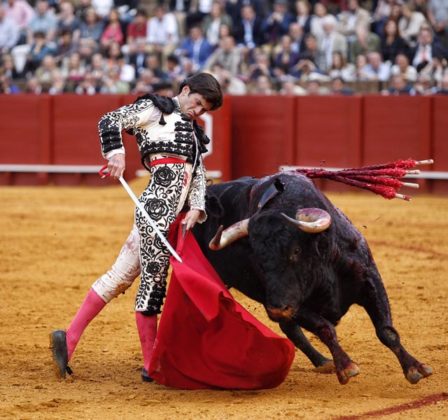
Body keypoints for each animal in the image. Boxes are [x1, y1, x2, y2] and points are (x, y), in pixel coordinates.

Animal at [191, 171, 432, 384]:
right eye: (256, 257)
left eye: (296, 251)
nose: (276, 309)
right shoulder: (294, 304)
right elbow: (325, 328)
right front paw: (346, 367)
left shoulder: (370, 279)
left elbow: (386, 331)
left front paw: (415, 368)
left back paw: (322, 361)